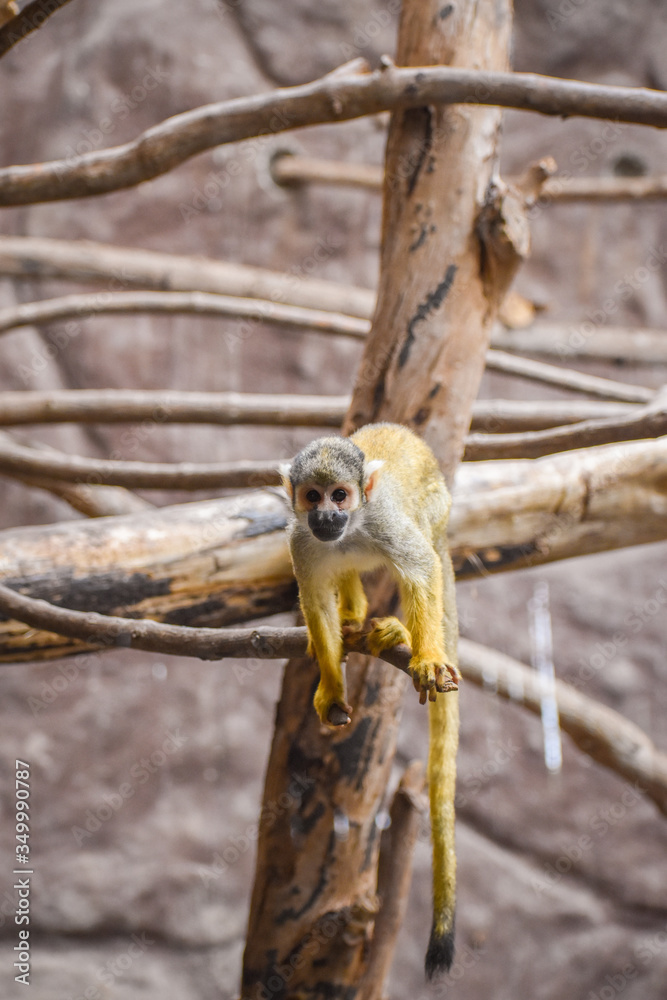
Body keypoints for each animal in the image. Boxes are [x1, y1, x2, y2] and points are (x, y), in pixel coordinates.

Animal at [281, 422, 460, 978]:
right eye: (312, 496)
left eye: (340, 495)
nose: (327, 515)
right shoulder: (300, 541)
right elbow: (314, 598)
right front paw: (332, 686)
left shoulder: (381, 522)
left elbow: (421, 567)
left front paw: (427, 656)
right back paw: (354, 621)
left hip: (437, 507)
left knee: (426, 550)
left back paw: (404, 636)